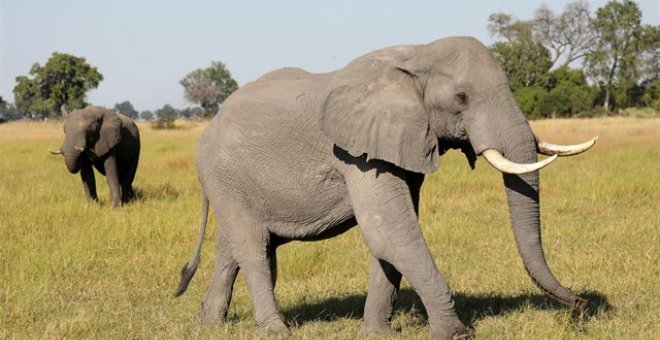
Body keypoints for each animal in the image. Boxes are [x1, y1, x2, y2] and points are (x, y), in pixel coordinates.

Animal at [175, 35, 600, 338]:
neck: (417, 55)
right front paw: (454, 334)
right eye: (461, 98)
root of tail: (209, 125)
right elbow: (389, 231)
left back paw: (209, 324)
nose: (580, 305)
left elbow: (391, 237)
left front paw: (376, 333)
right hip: (224, 173)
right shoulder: (357, 153)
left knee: (237, 246)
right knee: (253, 247)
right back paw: (276, 331)